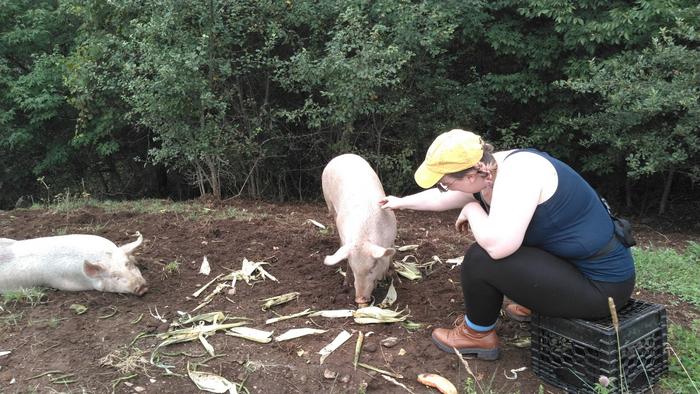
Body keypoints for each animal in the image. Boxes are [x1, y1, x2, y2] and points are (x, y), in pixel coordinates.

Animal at [322, 153, 396, 304]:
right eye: (354, 269)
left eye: (372, 267)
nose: (360, 299)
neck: (363, 239)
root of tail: (341, 156)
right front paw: (345, 284)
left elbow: (390, 256)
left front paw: (390, 277)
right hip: (330, 204)